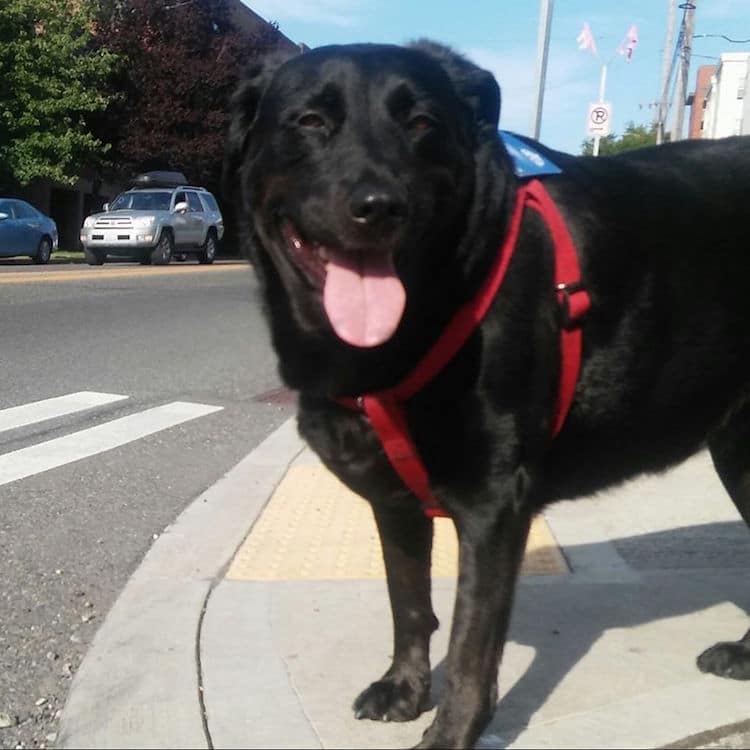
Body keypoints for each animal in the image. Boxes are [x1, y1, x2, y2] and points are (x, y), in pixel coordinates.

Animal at [226, 42, 750, 750]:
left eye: (422, 122)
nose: (379, 205)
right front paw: (404, 688)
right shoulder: (395, 499)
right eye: (310, 121)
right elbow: (408, 601)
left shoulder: (493, 502)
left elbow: (472, 644)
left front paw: (450, 734)